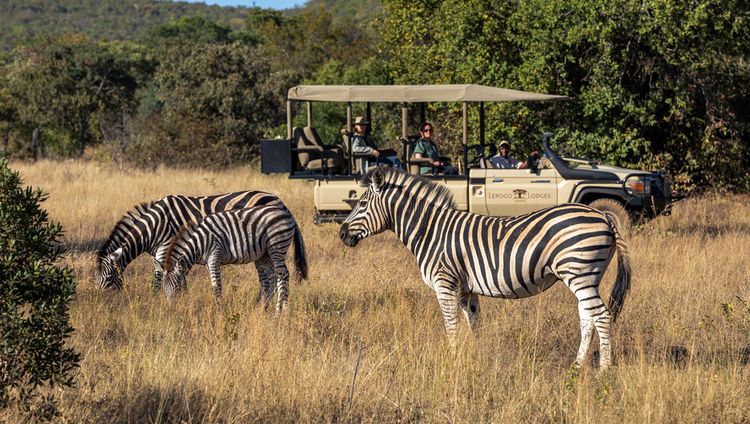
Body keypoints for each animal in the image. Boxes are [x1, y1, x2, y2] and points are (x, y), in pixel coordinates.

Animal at [94, 190, 282, 292]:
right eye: (95, 279)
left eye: (109, 277)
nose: (100, 303)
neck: (155, 225)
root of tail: (276, 198)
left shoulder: (166, 248)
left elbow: (157, 279)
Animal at [162, 204, 308, 310]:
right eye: (164, 289)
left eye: (177, 286)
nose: (171, 310)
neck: (199, 242)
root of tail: (287, 214)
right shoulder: (208, 262)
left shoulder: (214, 255)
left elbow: (216, 286)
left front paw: (219, 309)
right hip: (264, 253)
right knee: (271, 279)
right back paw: (263, 308)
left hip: (277, 246)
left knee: (283, 275)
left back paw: (280, 310)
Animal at [340, 167, 636, 370]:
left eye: (362, 204)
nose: (342, 234)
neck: (431, 231)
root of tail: (604, 216)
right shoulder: (466, 289)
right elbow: (474, 325)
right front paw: (476, 359)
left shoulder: (445, 283)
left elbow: (451, 326)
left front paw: (453, 361)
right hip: (586, 276)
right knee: (587, 317)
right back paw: (576, 366)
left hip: (580, 272)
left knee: (601, 316)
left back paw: (604, 368)